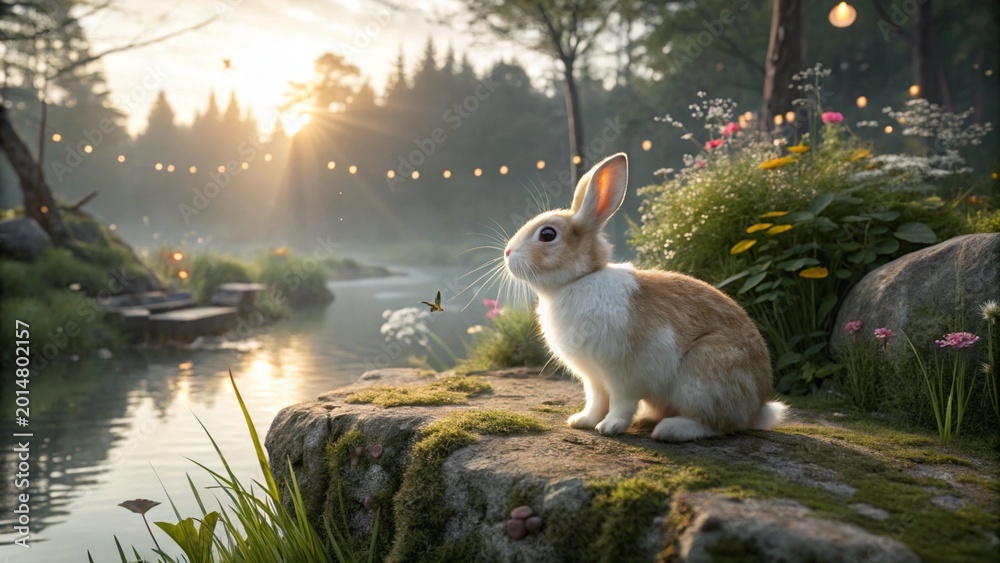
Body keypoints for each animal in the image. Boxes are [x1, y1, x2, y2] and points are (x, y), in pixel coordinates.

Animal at [503, 153, 786, 442]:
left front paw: (609, 427)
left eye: (547, 234)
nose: (507, 253)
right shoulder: (593, 378)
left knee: (717, 424)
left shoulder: (623, 375)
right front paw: (581, 421)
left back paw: (670, 430)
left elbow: (620, 403)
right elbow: (595, 400)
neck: (578, 280)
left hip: (704, 375)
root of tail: (757, 407)